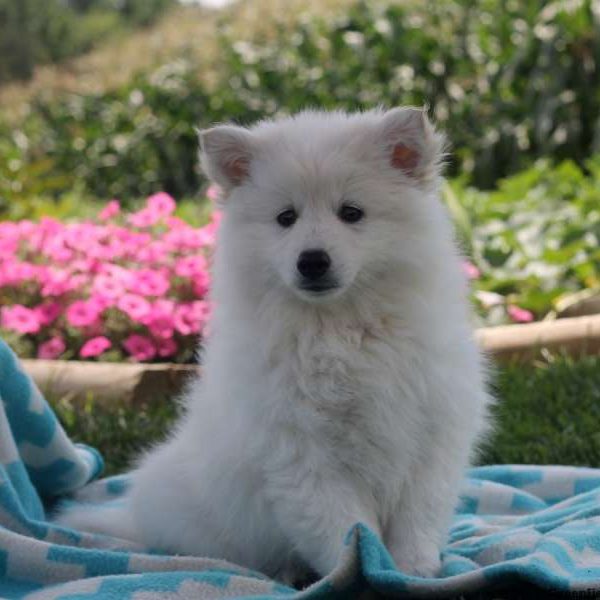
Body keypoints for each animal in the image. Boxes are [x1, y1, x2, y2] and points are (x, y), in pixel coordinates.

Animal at [58, 106, 492, 580]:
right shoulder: (301, 454)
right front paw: (364, 574)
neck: (340, 328)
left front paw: (415, 572)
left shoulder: (433, 437)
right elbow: (346, 530)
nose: (312, 261)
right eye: (286, 218)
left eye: (351, 212)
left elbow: (418, 517)